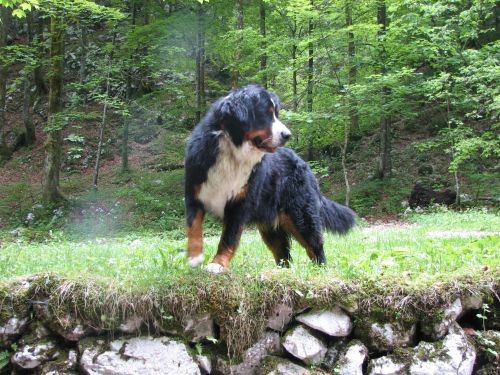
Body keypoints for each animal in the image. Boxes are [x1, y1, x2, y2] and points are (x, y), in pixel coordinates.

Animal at [185, 84, 356, 274]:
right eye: (264, 113)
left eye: (276, 113)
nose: (287, 134)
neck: (233, 153)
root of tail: (304, 164)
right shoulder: (194, 193)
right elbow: (193, 227)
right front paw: (194, 256)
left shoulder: (239, 204)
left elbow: (229, 237)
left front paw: (218, 264)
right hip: (270, 226)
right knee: (284, 254)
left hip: (302, 216)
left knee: (315, 246)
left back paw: (320, 270)